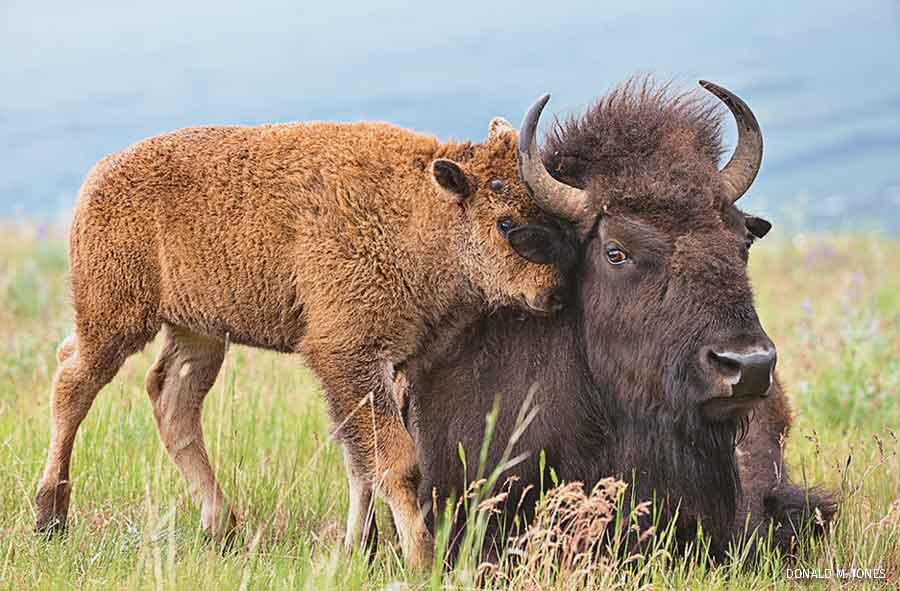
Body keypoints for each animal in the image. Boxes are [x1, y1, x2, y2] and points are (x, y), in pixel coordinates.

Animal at [38, 105, 568, 568]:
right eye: (505, 222)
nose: (556, 292)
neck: (419, 209)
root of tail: (99, 175)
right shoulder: (348, 353)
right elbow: (396, 461)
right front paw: (420, 558)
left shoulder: (384, 367)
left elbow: (359, 460)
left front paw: (361, 548)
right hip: (115, 318)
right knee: (74, 382)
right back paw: (50, 516)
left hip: (198, 333)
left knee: (172, 401)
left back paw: (222, 527)